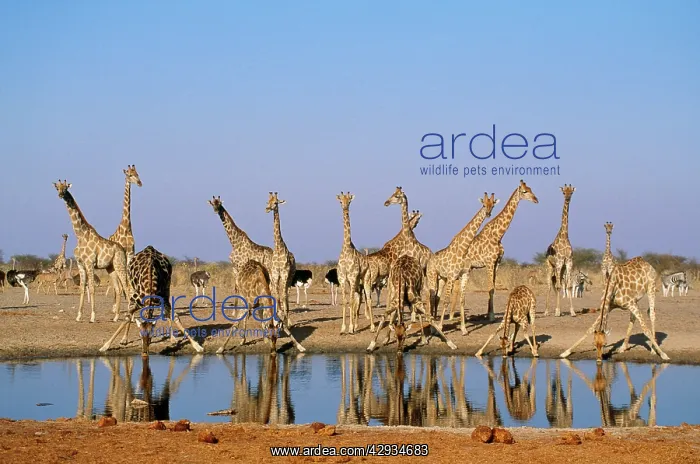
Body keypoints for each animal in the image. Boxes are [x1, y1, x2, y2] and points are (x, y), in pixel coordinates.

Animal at [53, 180, 130, 323]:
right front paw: (78, 316)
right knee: (118, 288)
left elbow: (92, 288)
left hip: (120, 264)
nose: (61, 195)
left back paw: (130, 316)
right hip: (110, 268)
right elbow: (82, 288)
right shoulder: (80, 264)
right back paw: (116, 317)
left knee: (126, 286)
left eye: (65, 188)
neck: (80, 235)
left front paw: (93, 316)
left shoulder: (89, 263)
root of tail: (122, 250)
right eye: (57, 188)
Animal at [105, 165, 142, 297]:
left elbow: (129, 281)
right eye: (129, 175)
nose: (140, 183)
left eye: (137, 174)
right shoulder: (123, 254)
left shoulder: (130, 253)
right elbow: (124, 282)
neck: (126, 227)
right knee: (117, 284)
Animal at [426, 192, 499, 333]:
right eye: (483, 205)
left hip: (442, 278)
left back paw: (434, 325)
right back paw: (433, 327)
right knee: (432, 297)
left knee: (436, 297)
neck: (463, 249)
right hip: (432, 276)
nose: (488, 214)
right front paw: (441, 327)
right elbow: (446, 301)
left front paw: (464, 329)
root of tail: (429, 260)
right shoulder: (452, 276)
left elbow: (462, 300)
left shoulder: (464, 275)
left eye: (492, 205)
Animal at [451, 180, 539, 322]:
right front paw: (491, 316)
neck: (498, 235)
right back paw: (452, 315)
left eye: (531, 189)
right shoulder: (490, 262)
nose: (536, 200)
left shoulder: (497, 263)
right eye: (525, 191)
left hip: (467, 269)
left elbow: (493, 288)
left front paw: (488, 314)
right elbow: (490, 288)